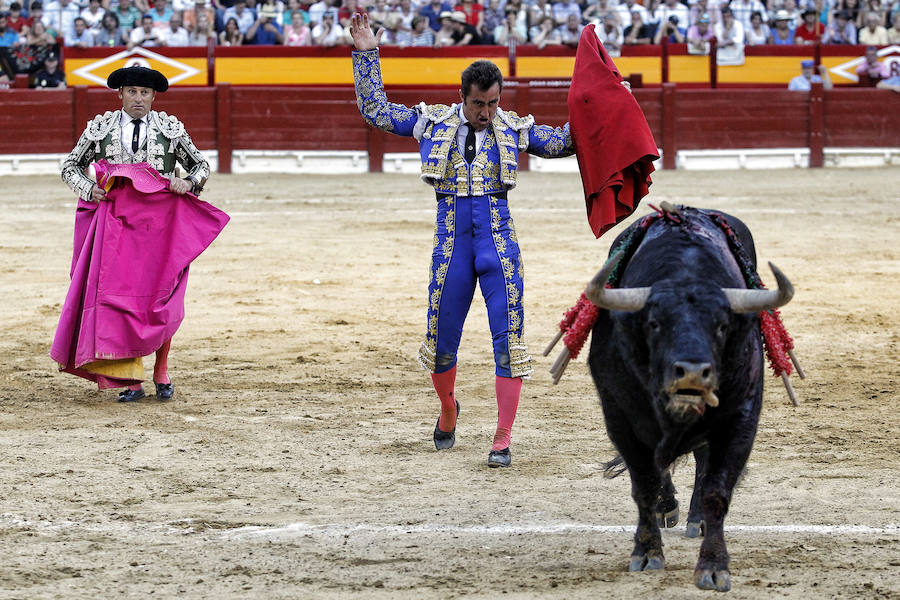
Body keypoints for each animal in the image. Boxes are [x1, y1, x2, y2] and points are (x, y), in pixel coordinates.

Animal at [588, 209, 792, 592]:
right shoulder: (620, 419)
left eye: (722, 326)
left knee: (701, 463)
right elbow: (644, 485)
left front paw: (713, 567)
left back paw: (696, 520)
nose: (693, 374)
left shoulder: (740, 419)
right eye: (654, 323)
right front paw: (647, 553)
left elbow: (717, 491)